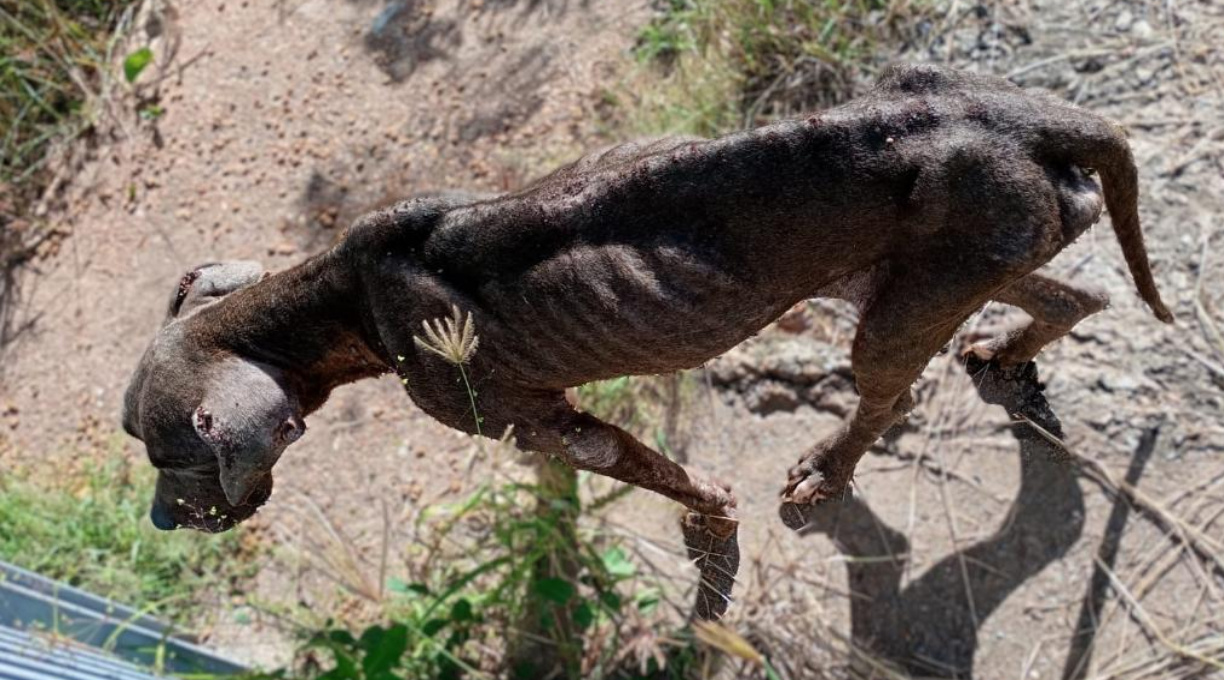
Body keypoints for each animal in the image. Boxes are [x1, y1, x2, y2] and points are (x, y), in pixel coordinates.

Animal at [126, 65, 1175, 621]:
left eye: (173, 459)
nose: (161, 526)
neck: (336, 299)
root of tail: (1015, 114)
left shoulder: (559, 427)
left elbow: (675, 484)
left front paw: (711, 537)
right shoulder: (547, 422)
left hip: (897, 309)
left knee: (891, 394)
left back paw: (828, 472)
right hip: (930, 266)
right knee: (1075, 289)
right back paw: (1012, 354)